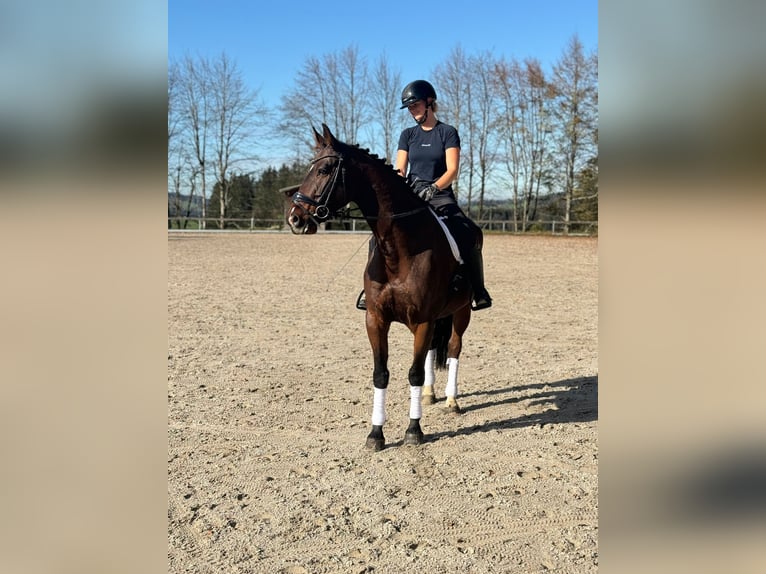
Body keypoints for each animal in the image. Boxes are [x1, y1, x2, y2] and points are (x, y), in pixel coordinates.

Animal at [286, 124, 480, 452]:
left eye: (324, 169)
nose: (295, 219)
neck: (400, 249)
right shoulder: (375, 319)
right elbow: (380, 374)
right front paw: (376, 433)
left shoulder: (424, 319)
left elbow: (413, 373)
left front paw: (413, 430)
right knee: (433, 349)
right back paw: (430, 394)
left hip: (462, 311)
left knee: (454, 347)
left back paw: (451, 400)